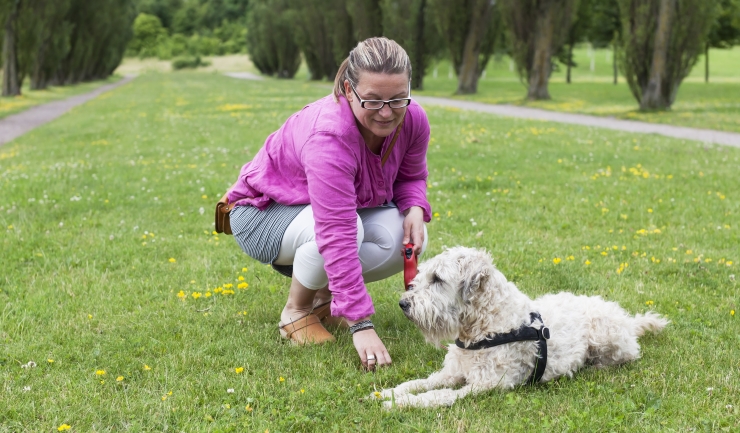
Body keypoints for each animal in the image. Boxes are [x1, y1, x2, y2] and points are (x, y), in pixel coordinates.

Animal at [372, 246, 668, 408]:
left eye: (437, 279)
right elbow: (418, 383)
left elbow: (438, 396)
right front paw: (387, 393)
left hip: (607, 338)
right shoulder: (451, 372)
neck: (485, 326)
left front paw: (400, 405)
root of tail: (628, 321)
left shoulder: (486, 385)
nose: (403, 303)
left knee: (627, 355)